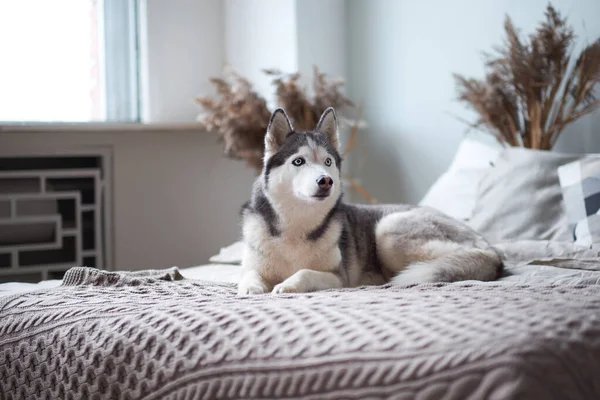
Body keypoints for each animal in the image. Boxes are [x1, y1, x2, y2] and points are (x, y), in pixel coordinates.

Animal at [237, 108, 504, 296]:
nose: (325, 181)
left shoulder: (339, 278)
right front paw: (251, 287)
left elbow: (304, 272)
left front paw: (288, 284)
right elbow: (247, 275)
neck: (297, 225)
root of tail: (490, 249)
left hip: (388, 230)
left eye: (327, 162)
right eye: (298, 161)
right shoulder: (252, 265)